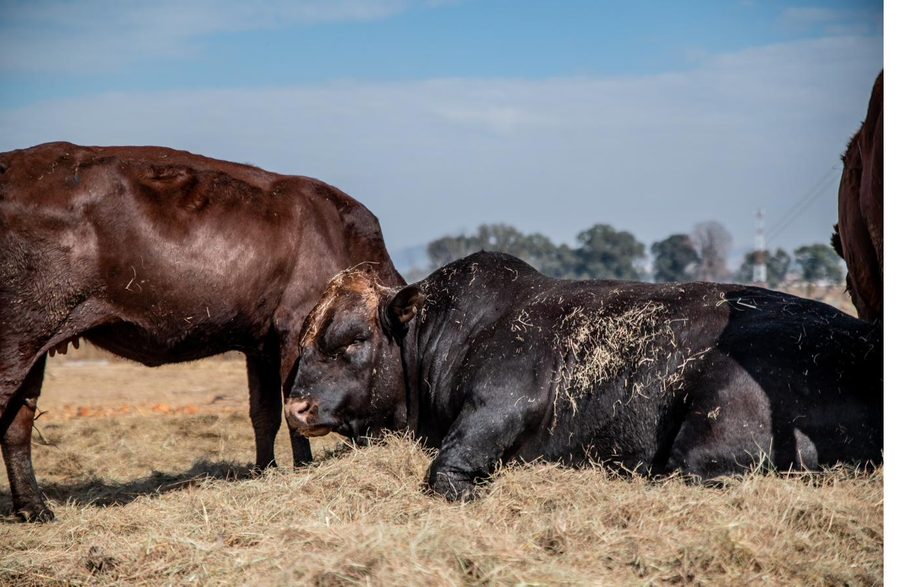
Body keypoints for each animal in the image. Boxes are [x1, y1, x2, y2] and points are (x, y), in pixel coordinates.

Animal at [0, 142, 403, 521]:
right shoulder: (295, 327)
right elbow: (295, 412)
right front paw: (303, 470)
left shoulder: (259, 345)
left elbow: (265, 414)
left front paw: (265, 471)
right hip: (18, 338)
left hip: (35, 347)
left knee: (17, 424)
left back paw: (34, 509)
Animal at [285, 252, 882, 501]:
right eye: (305, 339)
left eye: (353, 339)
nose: (296, 406)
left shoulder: (503, 403)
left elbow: (445, 472)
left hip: (712, 423)